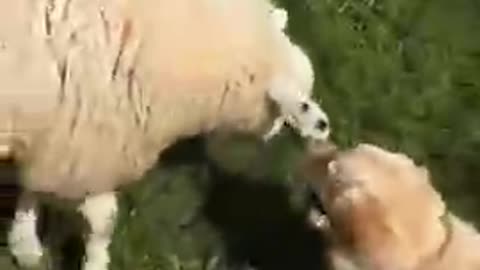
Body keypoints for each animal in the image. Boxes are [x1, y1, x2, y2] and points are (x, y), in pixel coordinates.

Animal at [0, 0, 330, 270]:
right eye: (283, 113)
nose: (273, 135)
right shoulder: (87, 148)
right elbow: (102, 223)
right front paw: (94, 262)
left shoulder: (56, 138)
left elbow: (32, 189)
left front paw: (24, 246)